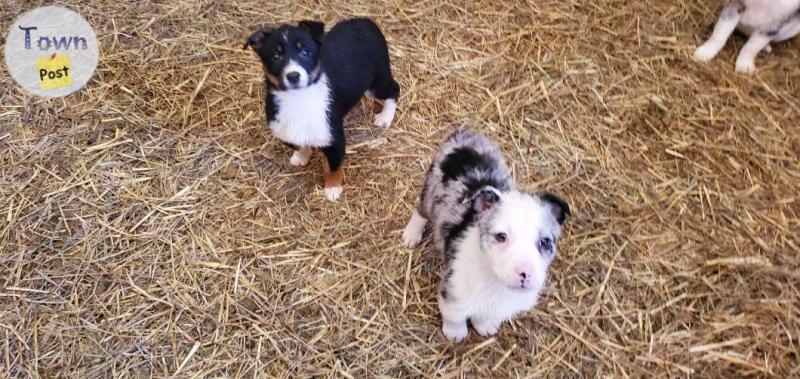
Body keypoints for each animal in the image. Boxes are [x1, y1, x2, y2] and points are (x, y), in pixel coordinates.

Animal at [241, 18, 396, 202]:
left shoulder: (334, 139)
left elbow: (332, 168)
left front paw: (332, 190)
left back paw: (385, 117)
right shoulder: (284, 131)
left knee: (394, 90)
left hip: (377, 81)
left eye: (305, 52)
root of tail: (364, 21)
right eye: (276, 56)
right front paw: (301, 157)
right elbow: (300, 145)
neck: (298, 99)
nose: (293, 76)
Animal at [404, 129, 572, 342]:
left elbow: (484, 316)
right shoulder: (453, 289)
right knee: (421, 211)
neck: (494, 280)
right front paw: (455, 333)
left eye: (545, 242)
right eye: (501, 236)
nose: (525, 274)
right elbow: (454, 315)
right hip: (430, 189)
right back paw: (411, 234)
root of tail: (464, 132)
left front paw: (484, 326)